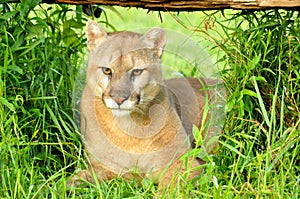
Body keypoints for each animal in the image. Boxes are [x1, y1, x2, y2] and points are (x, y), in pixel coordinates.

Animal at [69, 21, 221, 187]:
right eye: (107, 70)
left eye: (136, 71)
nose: (119, 98)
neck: (125, 127)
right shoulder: (103, 167)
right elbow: (77, 178)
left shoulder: (183, 161)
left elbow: (170, 187)